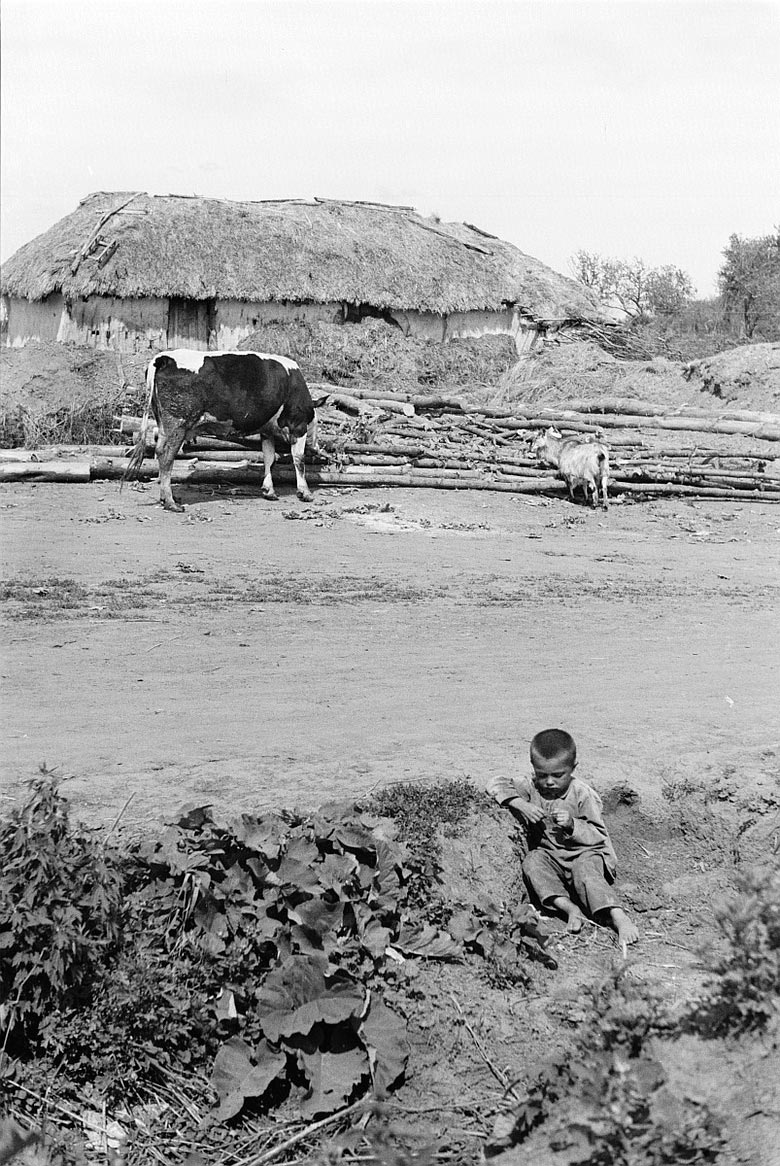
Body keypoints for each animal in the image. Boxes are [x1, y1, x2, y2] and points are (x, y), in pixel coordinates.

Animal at [123, 345, 317, 510]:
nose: (316, 448)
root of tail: (164, 358)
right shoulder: (298, 425)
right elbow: (299, 459)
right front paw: (305, 492)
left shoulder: (266, 431)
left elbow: (269, 459)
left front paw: (269, 491)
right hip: (177, 424)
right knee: (166, 455)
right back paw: (171, 503)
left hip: (164, 423)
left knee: (160, 451)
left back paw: (166, 498)